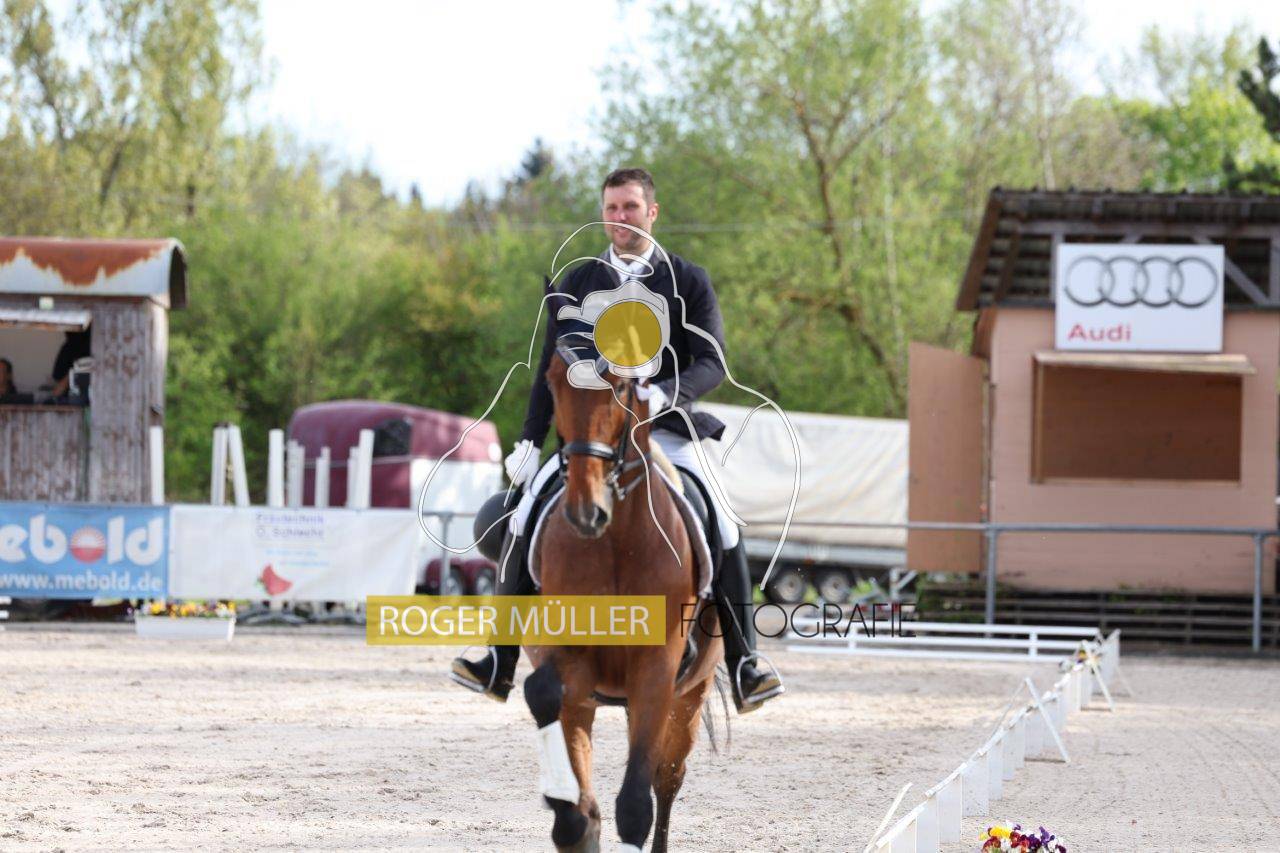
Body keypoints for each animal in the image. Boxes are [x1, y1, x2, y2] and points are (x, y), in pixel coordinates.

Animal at [521, 350, 723, 853]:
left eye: (624, 388)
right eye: (552, 386)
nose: (585, 511)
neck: (615, 540)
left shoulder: (657, 670)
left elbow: (635, 807)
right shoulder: (569, 658)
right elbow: (542, 692)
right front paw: (564, 812)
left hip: (688, 697)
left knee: (665, 780)